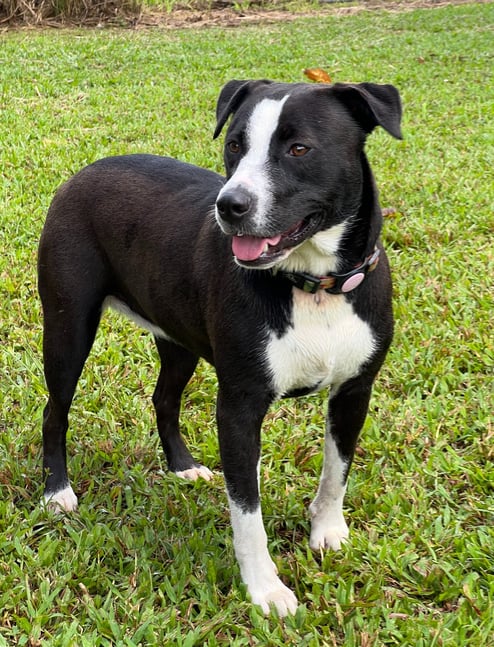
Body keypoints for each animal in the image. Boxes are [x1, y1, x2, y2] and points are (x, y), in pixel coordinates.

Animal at [38, 78, 402, 616]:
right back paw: (56, 491)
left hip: (177, 338)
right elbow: (247, 512)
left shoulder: (355, 390)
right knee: (55, 409)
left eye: (299, 149)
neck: (314, 286)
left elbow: (337, 470)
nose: (230, 205)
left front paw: (328, 531)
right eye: (234, 145)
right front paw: (266, 588)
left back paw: (182, 467)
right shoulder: (240, 407)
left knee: (164, 399)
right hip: (68, 328)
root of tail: (86, 171)